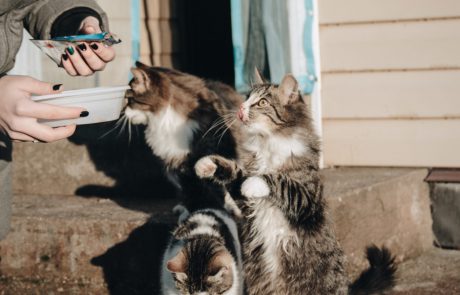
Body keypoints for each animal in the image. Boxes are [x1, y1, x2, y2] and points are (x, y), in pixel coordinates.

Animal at [194, 70, 396, 294]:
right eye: (247, 98)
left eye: (262, 102)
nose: (240, 108)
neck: (268, 143)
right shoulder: (247, 203)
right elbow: (235, 173)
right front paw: (207, 164)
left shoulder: (307, 199)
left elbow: (280, 181)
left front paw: (255, 183)